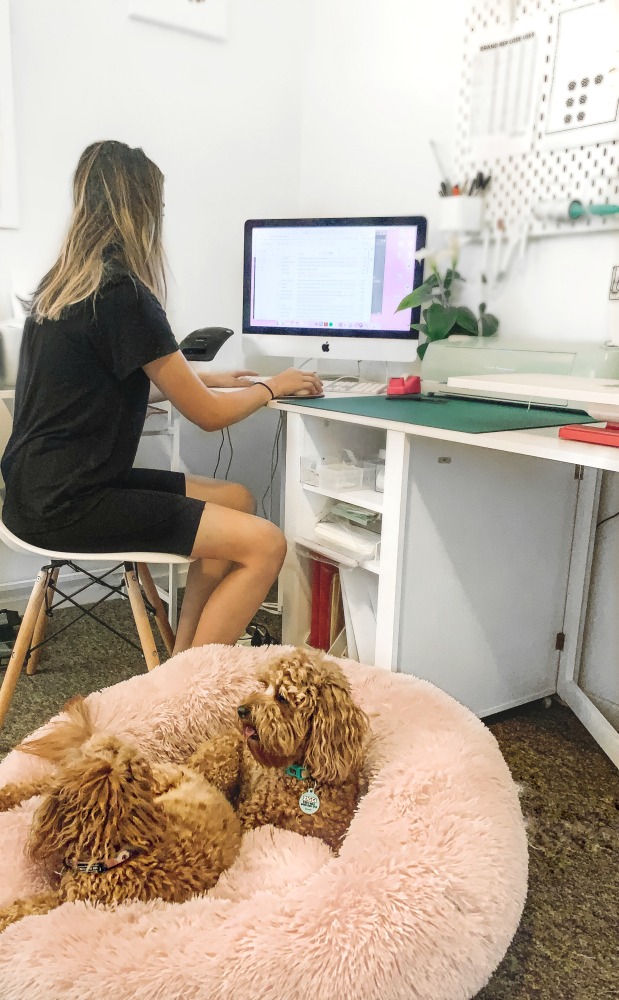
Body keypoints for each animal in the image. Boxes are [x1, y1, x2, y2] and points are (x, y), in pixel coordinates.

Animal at [189, 648, 370, 852]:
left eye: (282, 697)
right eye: (264, 685)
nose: (241, 710)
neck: (302, 776)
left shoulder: (335, 837)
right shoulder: (249, 815)